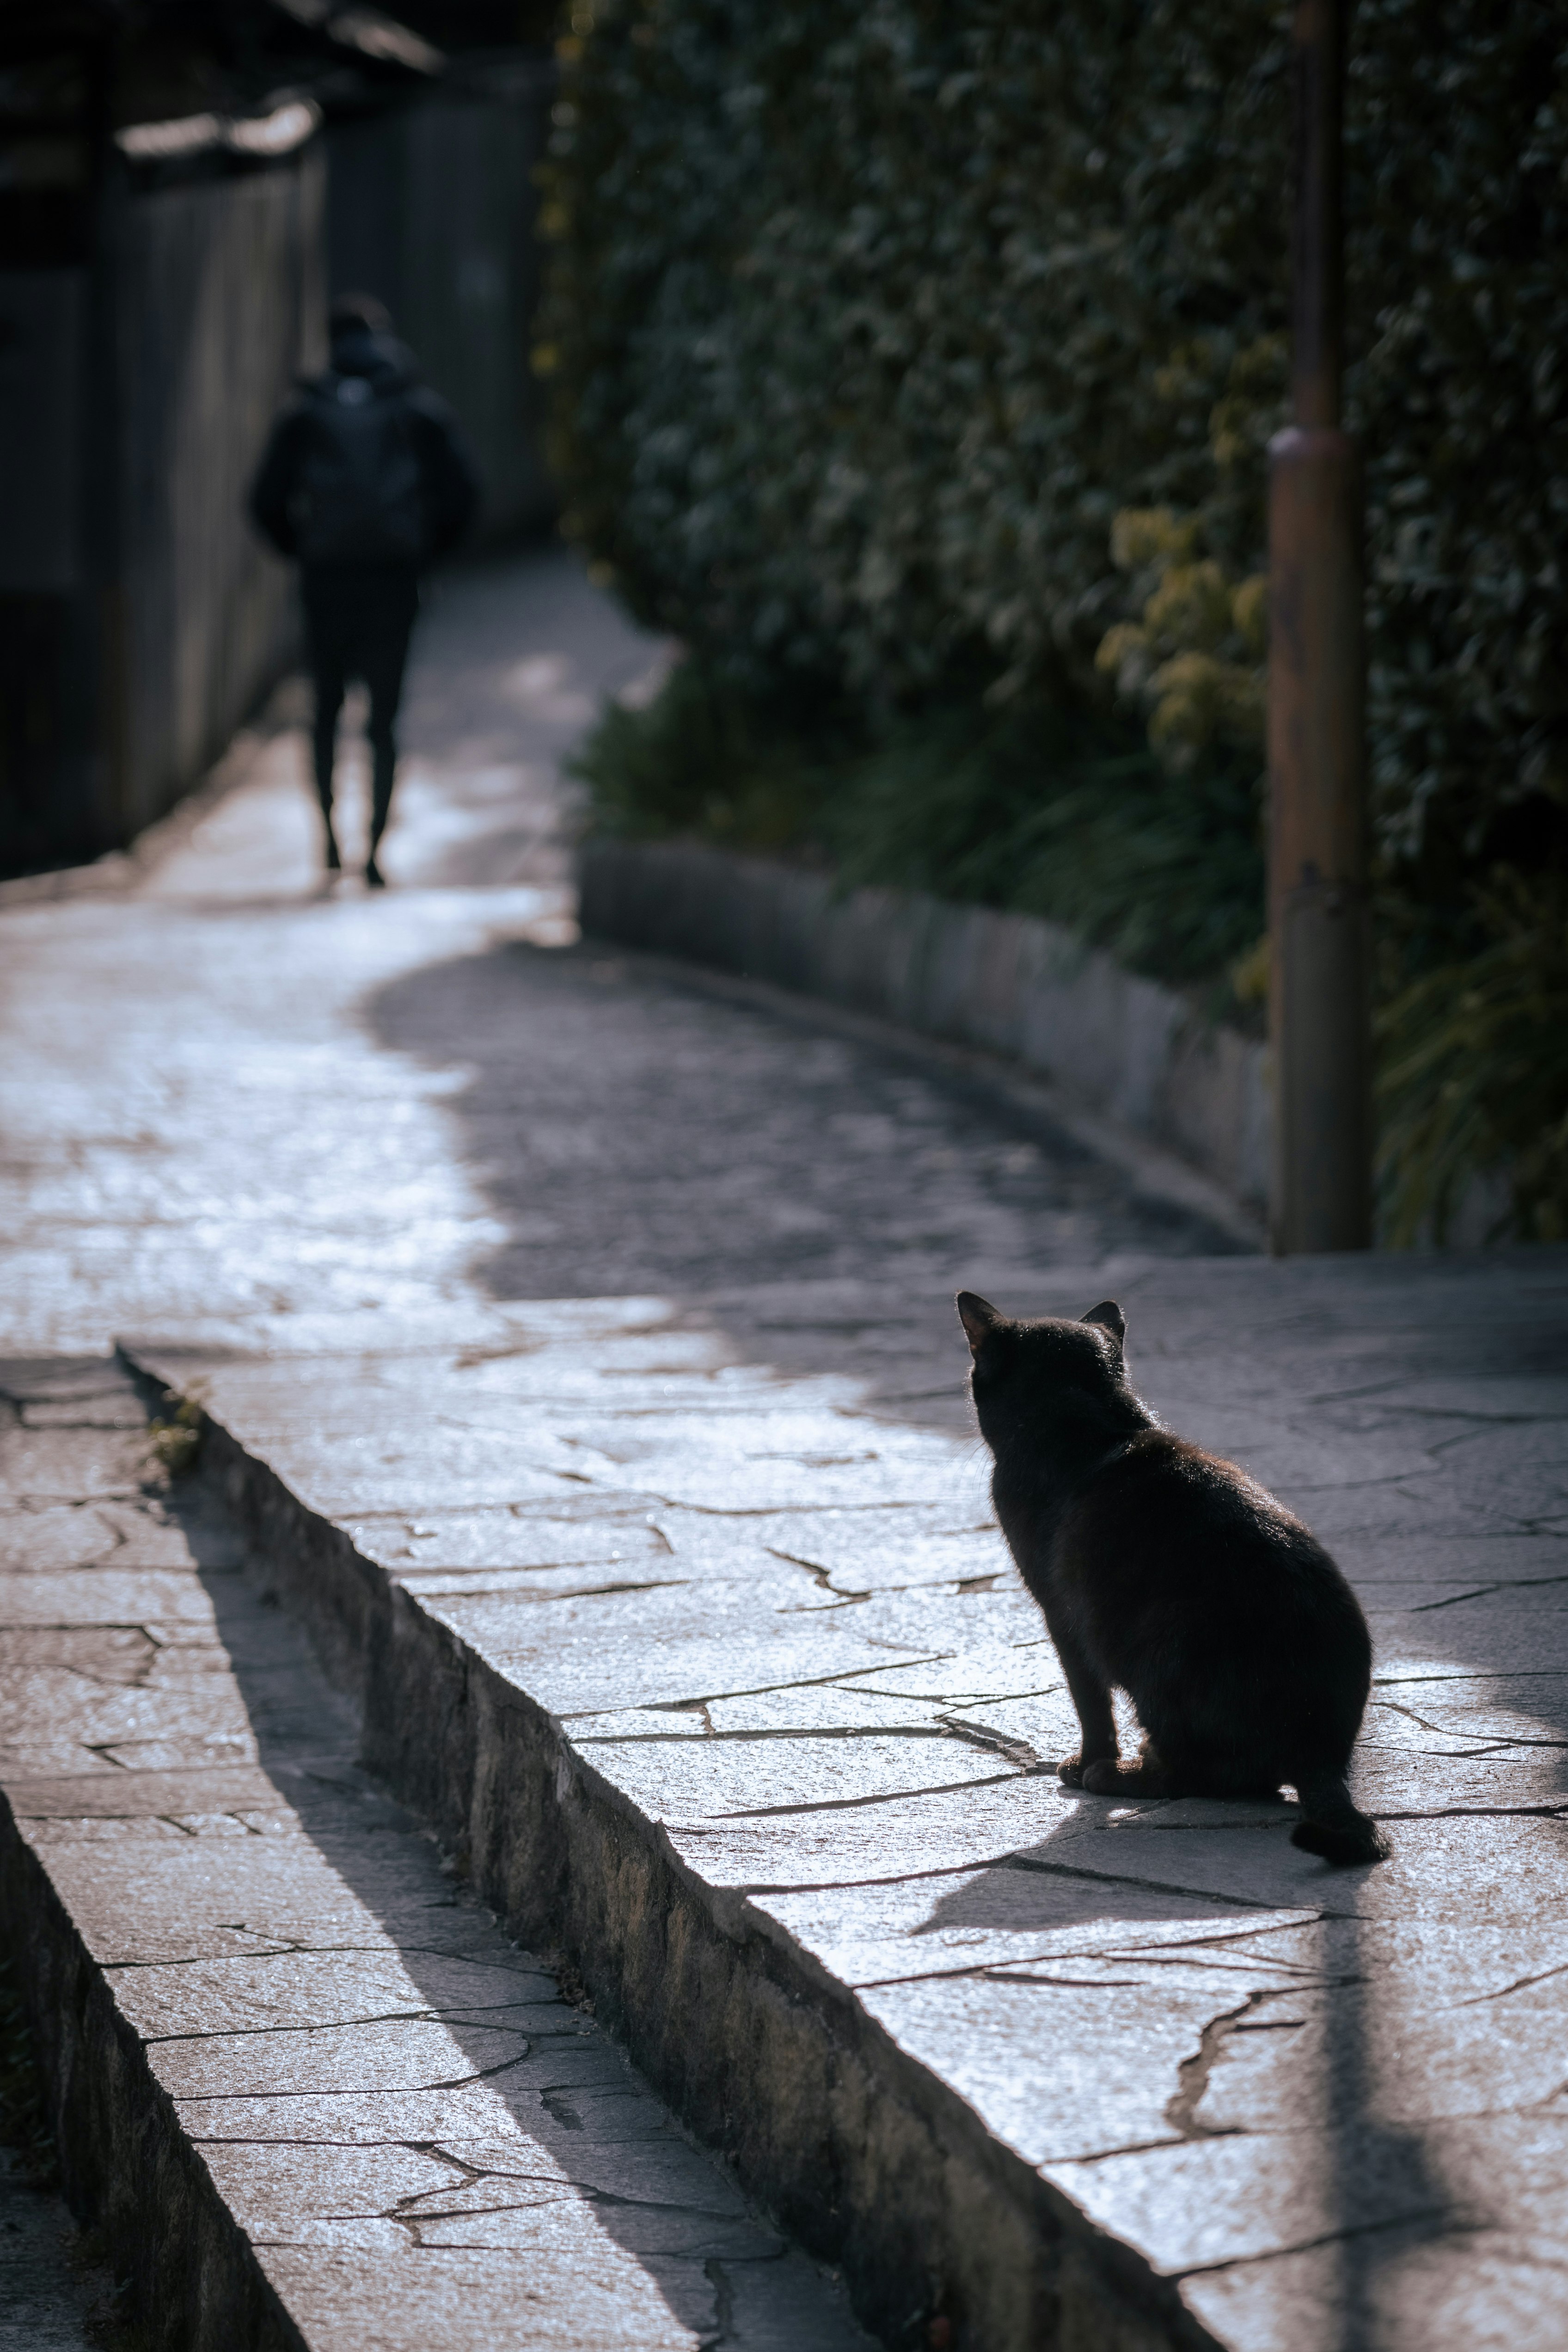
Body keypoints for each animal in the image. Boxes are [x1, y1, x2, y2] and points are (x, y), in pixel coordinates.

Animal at [959, 1298, 1382, 1862]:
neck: (1094, 1431)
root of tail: (1322, 1753)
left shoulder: (1062, 1615)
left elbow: (1089, 1701)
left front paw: (1086, 1762)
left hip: (1156, 1651)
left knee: (1212, 1777)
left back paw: (1118, 1774)